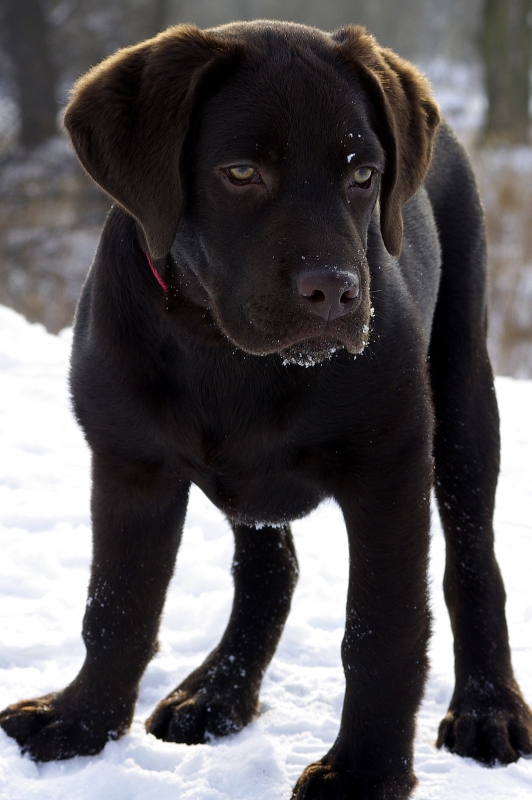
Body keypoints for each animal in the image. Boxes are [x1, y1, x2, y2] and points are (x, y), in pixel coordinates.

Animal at [1, 20, 531, 799]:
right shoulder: (131, 462)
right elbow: (116, 605)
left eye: (363, 176)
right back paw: (216, 694)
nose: (335, 291)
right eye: (241, 172)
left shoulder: (390, 467)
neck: (222, 350)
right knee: (269, 570)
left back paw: (488, 711)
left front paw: (366, 772)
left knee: (473, 559)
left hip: (463, 393)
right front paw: (82, 720)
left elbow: (382, 629)